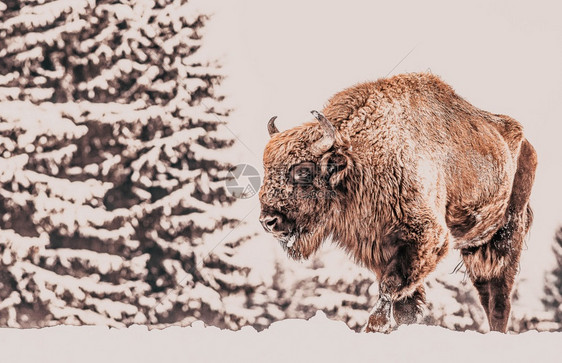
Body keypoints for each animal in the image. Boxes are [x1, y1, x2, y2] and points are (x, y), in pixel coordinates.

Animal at [258, 72, 532, 334]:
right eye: (267, 169)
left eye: (303, 171)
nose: (268, 221)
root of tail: (525, 143)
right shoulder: (381, 246)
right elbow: (405, 304)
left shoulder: (427, 237)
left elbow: (391, 286)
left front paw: (374, 327)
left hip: (504, 235)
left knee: (498, 297)